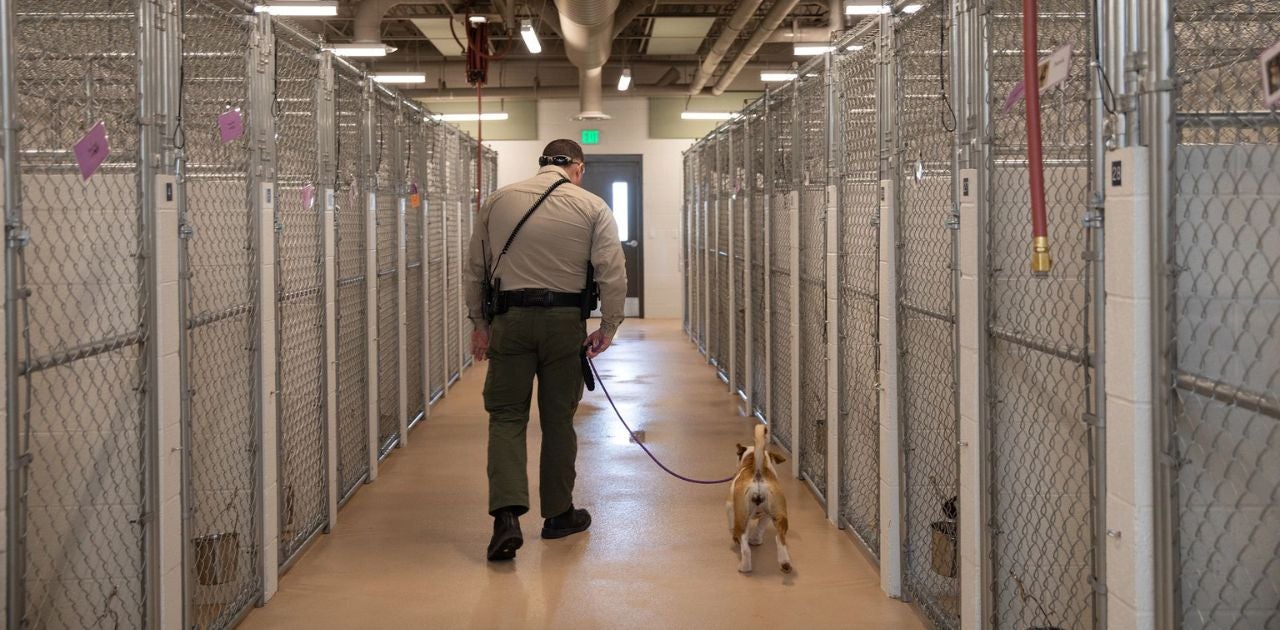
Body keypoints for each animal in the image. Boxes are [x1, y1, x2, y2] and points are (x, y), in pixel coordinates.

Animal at [732, 425, 788, 573]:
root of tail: (758, 474)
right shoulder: (767, 515)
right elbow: (760, 527)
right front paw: (756, 539)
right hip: (779, 515)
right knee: (780, 538)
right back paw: (785, 563)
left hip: (741, 520)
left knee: (745, 548)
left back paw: (744, 567)